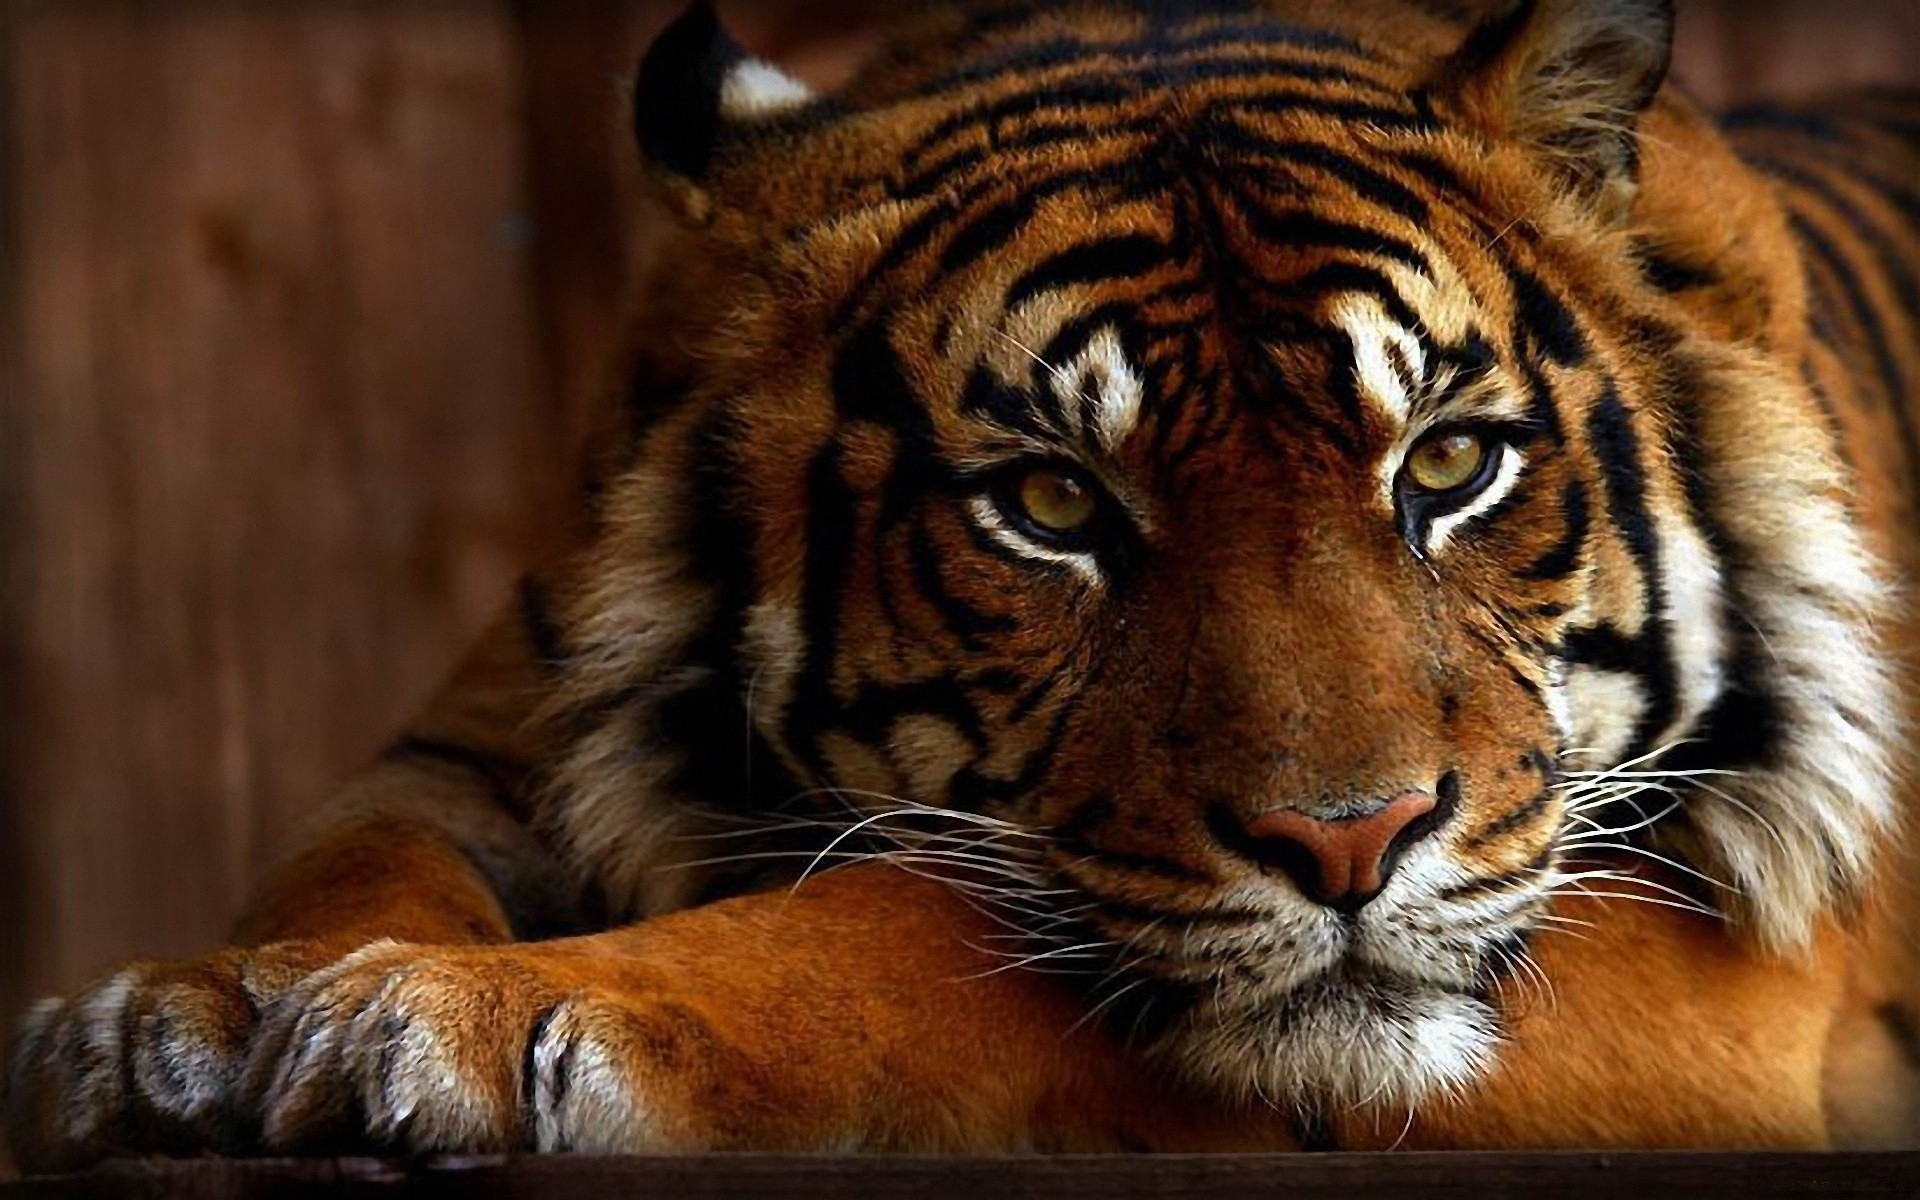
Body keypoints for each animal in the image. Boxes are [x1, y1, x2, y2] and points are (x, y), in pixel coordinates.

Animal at [9, 0, 1920, 1170]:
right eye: (1053, 503)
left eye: (1447, 466)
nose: (1352, 845)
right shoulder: (485, 739)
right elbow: (352, 856)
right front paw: (184, 1018)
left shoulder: (1719, 955)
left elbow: (914, 923)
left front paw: (484, 1018)